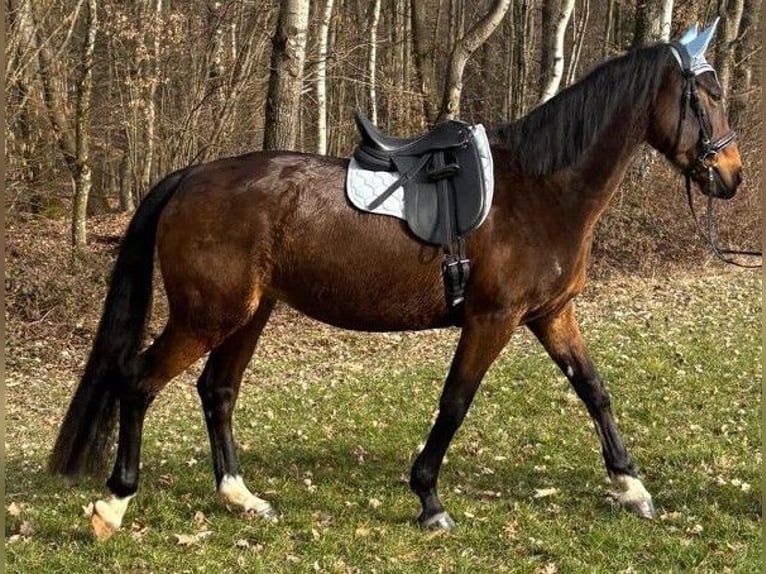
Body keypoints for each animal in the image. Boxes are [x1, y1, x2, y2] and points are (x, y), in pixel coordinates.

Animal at [50, 27, 741, 539]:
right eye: (704, 97)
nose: (732, 174)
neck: (542, 190)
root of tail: (189, 178)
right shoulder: (492, 319)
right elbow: (455, 402)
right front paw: (429, 498)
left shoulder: (551, 315)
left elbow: (595, 392)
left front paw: (631, 485)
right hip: (206, 315)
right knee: (138, 382)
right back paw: (114, 503)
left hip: (250, 313)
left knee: (216, 392)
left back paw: (239, 497)